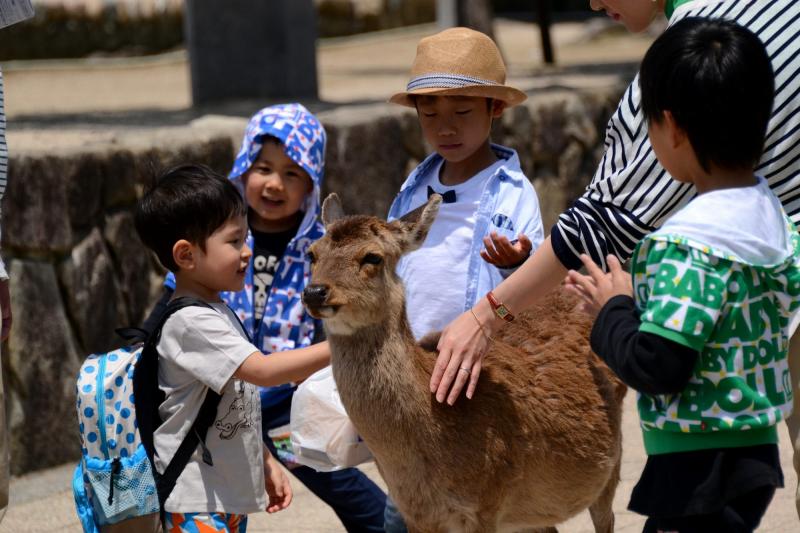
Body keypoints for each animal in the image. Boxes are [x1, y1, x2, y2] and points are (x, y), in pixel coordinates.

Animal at [304, 194, 628, 532]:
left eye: (372, 257)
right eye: (312, 253)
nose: (315, 292)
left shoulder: (486, 501)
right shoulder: (417, 515)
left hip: (610, 467)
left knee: (606, 516)